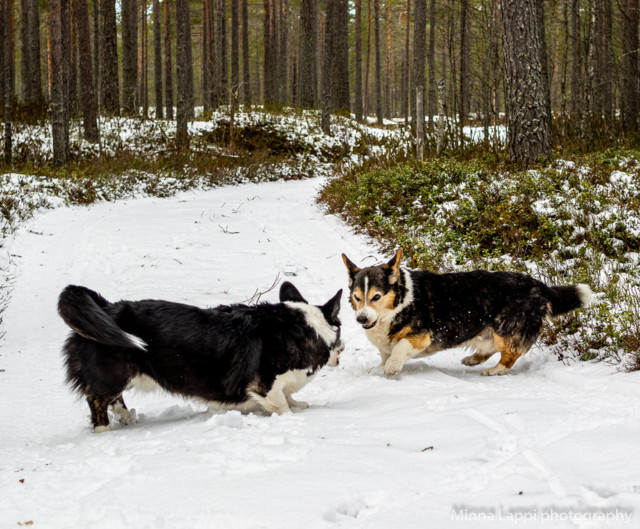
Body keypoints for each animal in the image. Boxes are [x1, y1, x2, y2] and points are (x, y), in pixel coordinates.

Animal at [57, 282, 342, 432]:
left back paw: (127, 419)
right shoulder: (264, 384)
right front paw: (291, 415)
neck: (303, 328)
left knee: (114, 399)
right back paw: (104, 429)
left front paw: (299, 403)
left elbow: (289, 396)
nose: (343, 349)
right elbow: (281, 404)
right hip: (111, 374)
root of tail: (104, 307)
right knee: (96, 400)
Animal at [342, 248, 592, 376]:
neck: (400, 302)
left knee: (510, 354)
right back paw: (472, 359)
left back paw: (494, 371)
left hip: (505, 326)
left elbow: (399, 348)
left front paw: (392, 367)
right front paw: (378, 368)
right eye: (357, 297)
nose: (362, 319)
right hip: (488, 329)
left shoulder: (421, 336)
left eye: (376, 297)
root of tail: (540, 286)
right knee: (492, 348)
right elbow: (384, 354)